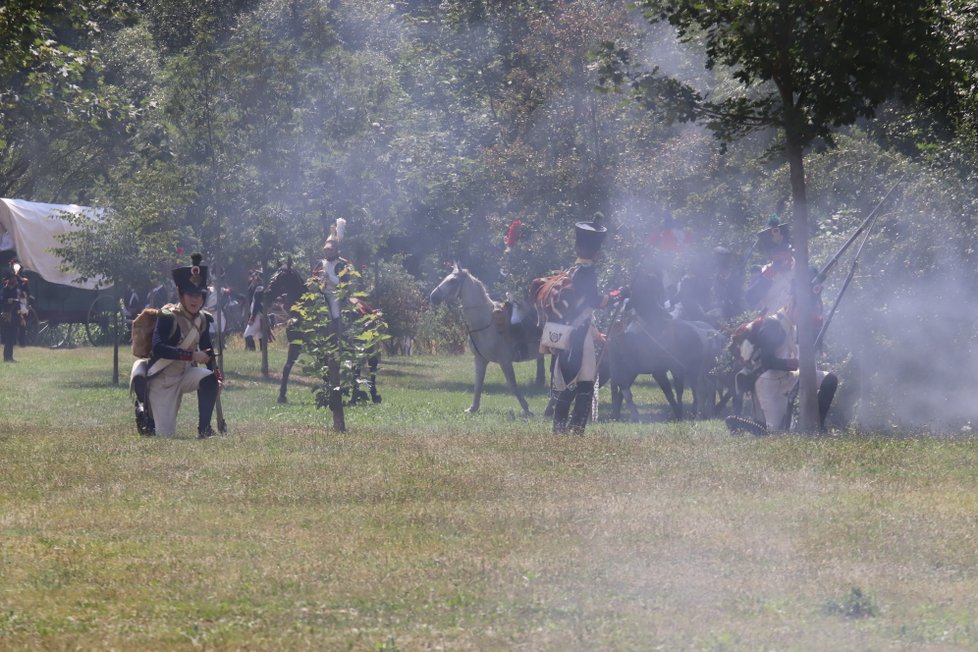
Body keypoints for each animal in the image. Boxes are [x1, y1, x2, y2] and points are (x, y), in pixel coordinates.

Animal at [430, 264, 536, 418]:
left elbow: (512, 384)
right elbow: (478, 384)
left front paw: (527, 409)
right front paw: (472, 408)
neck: (487, 321)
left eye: (452, 281)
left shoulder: (505, 361)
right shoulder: (480, 360)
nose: (433, 297)